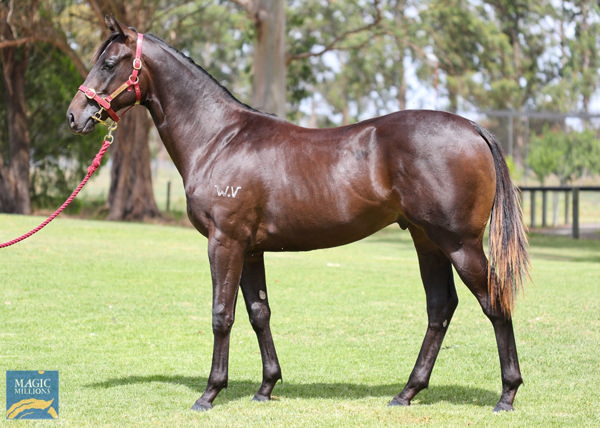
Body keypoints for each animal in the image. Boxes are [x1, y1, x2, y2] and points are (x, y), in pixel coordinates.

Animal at [68, 15, 528, 412]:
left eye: (109, 63)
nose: (75, 115)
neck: (218, 138)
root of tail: (473, 128)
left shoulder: (225, 242)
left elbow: (221, 315)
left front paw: (210, 393)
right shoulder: (250, 249)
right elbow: (259, 313)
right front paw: (266, 386)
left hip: (459, 243)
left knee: (494, 302)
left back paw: (506, 394)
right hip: (426, 240)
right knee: (440, 307)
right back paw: (407, 392)